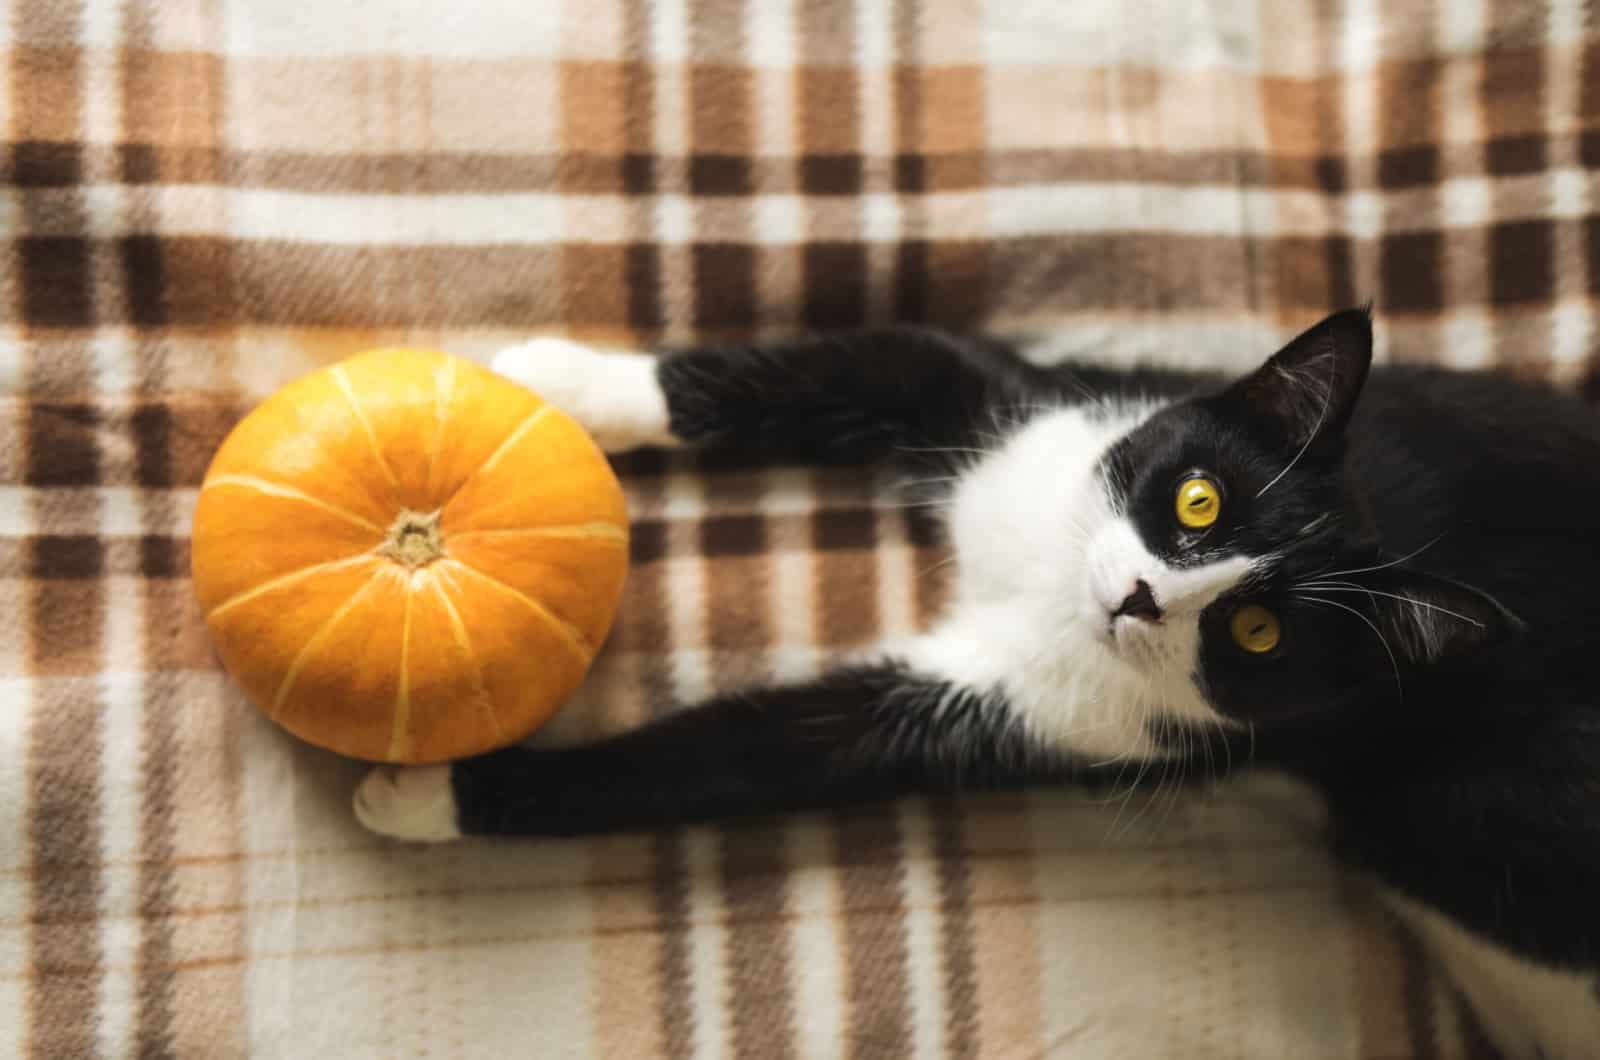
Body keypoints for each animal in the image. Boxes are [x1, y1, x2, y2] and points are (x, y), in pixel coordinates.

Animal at [356, 312, 1600, 1056]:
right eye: (1196, 498)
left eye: (1255, 631)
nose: (1140, 597)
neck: (1049, 571)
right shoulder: (1046, 406)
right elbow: (875, 353)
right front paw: (560, 380)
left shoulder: (1095, 720)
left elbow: (760, 752)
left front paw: (430, 793)